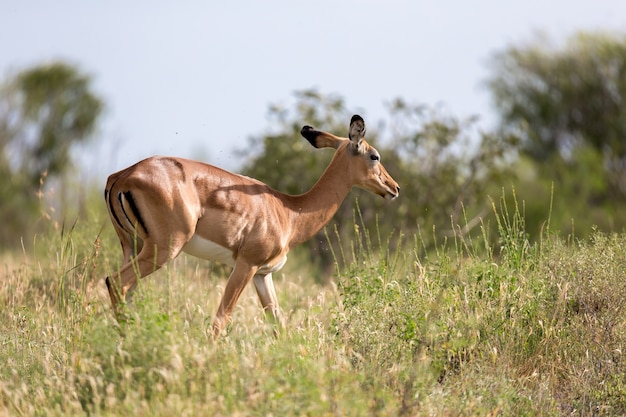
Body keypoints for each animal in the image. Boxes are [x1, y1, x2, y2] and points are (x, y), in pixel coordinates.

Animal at [101, 114, 394, 334]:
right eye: (374, 156)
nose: (394, 188)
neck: (289, 212)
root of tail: (121, 176)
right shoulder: (246, 265)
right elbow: (221, 319)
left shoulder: (264, 275)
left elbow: (279, 325)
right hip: (164, 249)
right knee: (115, 283)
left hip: (134, 247)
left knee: (125, 291)